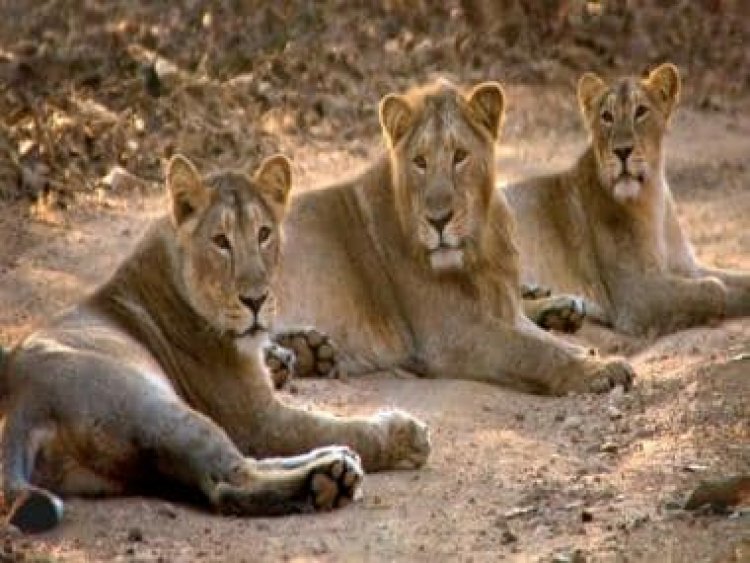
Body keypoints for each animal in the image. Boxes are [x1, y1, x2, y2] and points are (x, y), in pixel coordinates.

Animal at [0, 153, 432, 532]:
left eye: (264, 234)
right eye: (221, 241)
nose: (256, 299)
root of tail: (20, 403)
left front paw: (304, 350)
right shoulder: (258, 420)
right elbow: (331, 425)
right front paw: (403, 433)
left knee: (228, 471)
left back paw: (330, 462)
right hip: (159, 408)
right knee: (230, 482)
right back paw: (329, 478)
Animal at [274, 79, 636, 396]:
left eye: (459, 156)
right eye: (419, 162)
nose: (438, 220)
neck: (480, 247)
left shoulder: (501, 309)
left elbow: (546, 341)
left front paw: (588, 354)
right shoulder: (451, 335)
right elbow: (535, 353)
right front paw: (599, 370)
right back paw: (295, 355)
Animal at [506, 62, 750, 334]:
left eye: (641, 111)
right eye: (606, 116)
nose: (622, 151)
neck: (653, 198)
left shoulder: (686, 266)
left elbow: (739, 282)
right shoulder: (635, 294)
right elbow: (715, 289)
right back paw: (559, 310)